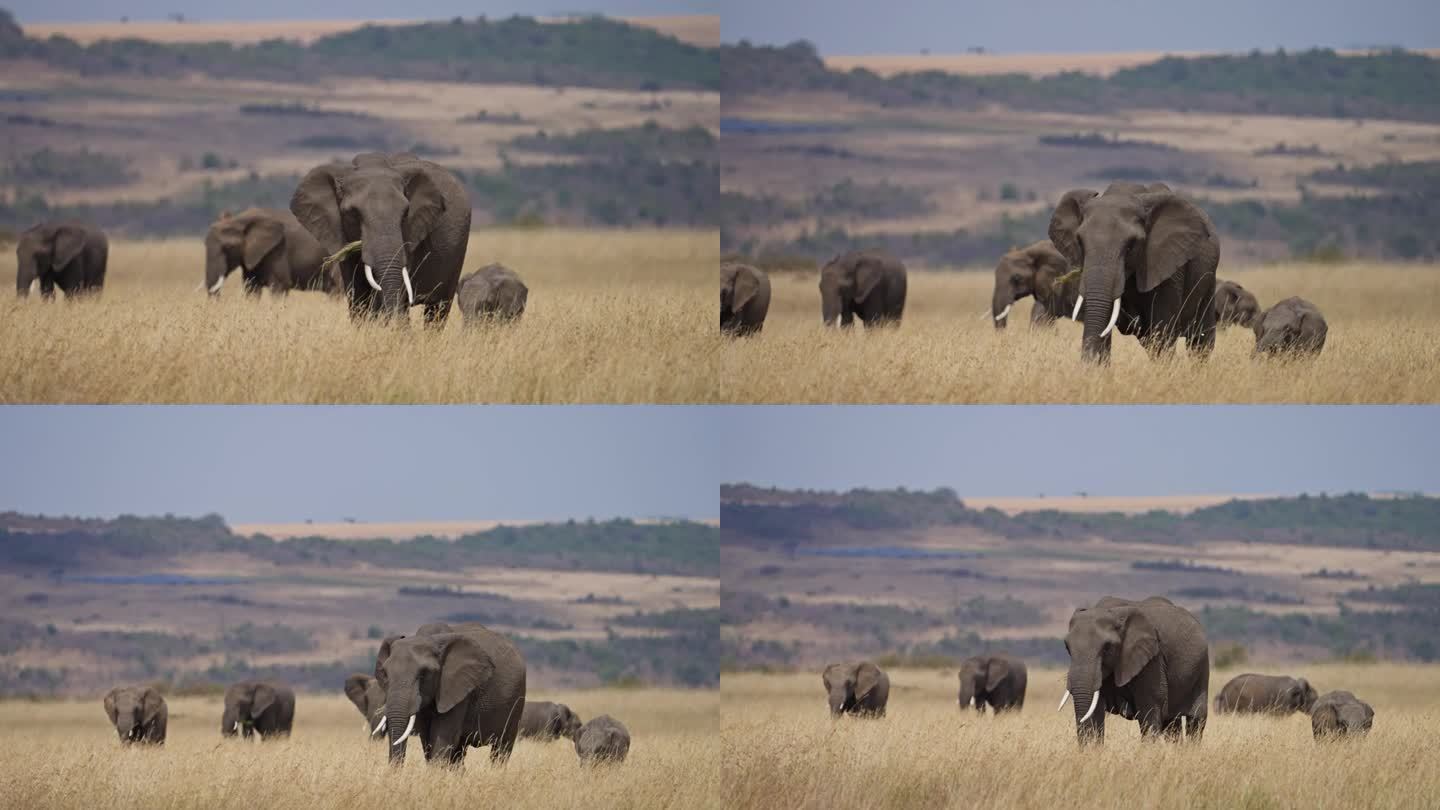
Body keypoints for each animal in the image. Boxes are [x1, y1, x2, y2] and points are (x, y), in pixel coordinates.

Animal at [374, 625, 527, 760]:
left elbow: (442, 737)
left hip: (517, 697)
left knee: (502, 747)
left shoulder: (458, 689)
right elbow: (427, 739)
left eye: (424, 674)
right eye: (385, 673)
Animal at [1065, 593, 1209, 743]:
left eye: (1107, 648)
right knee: (1172, 723)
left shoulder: (1153, 659)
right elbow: (1094, 712)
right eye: (1067, 647)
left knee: (1196, 719)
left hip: (1202, 666)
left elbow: (1149, 710)